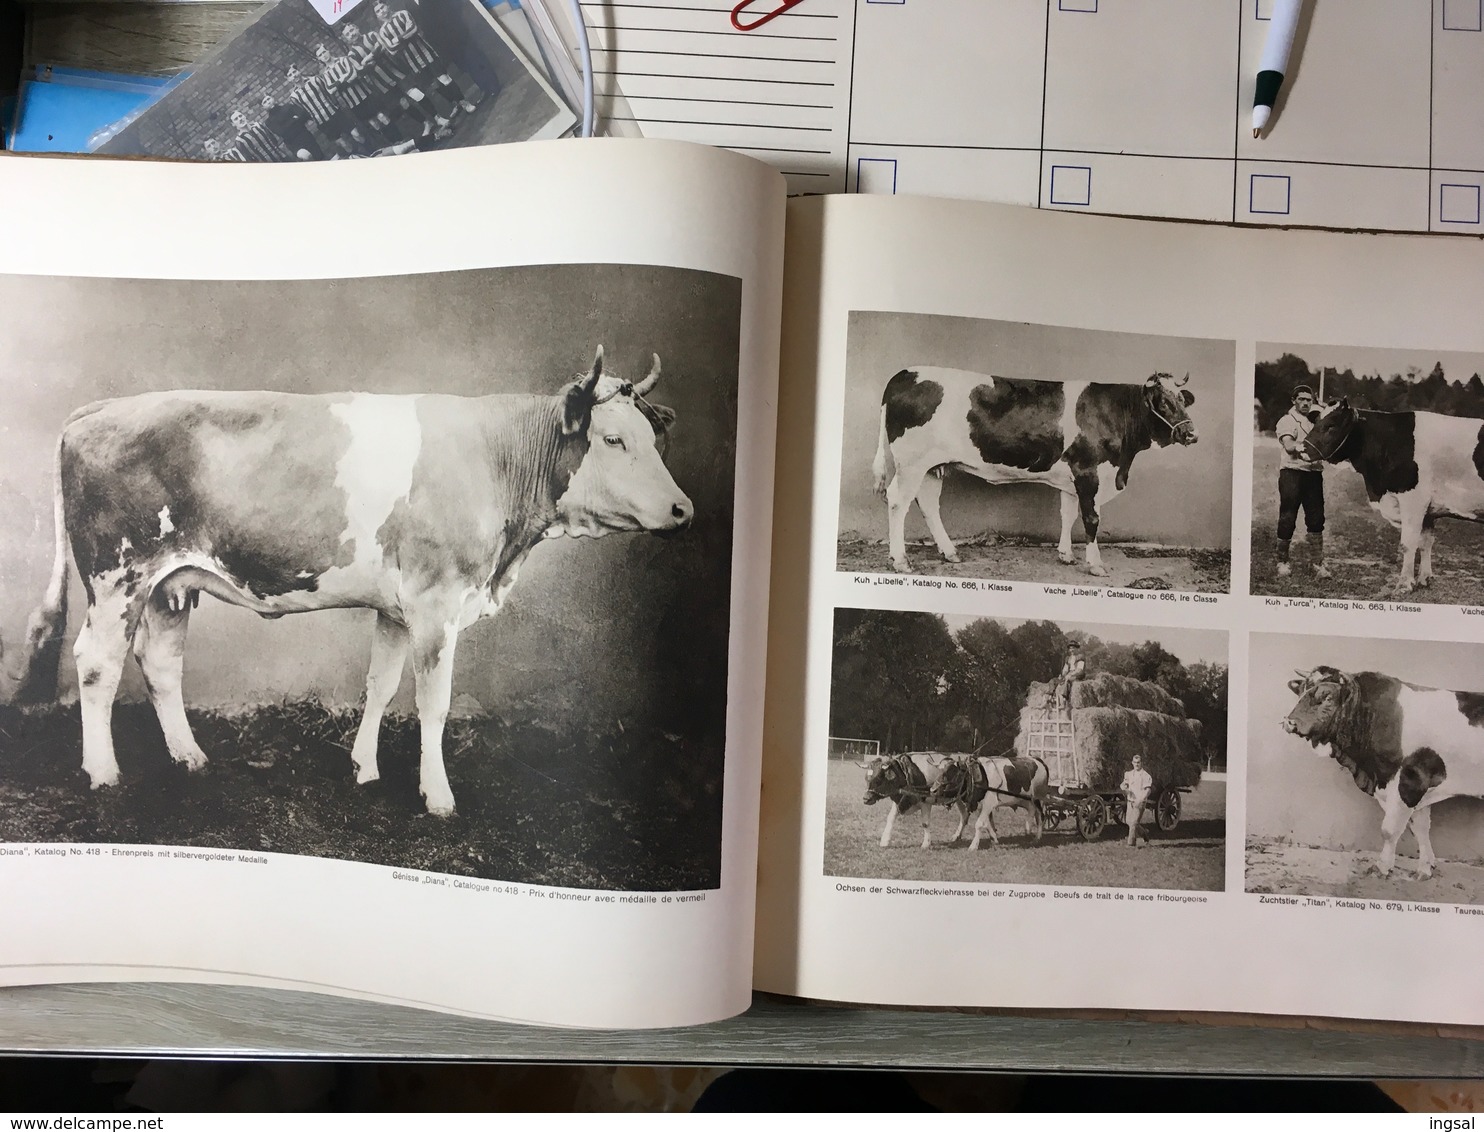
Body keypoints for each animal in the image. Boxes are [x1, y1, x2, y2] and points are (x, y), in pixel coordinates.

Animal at [13, 345, 694, 813]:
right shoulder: (437, 601)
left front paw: (364, 769)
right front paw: (437, 796)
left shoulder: (397, 606)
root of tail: (107, 404)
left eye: (653, 438)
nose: (683, 509)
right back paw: (104, 774)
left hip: (169, 582)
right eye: (613, 439)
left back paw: (191, 758)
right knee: (97, 663)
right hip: (118, 575)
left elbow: (380, 686)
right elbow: (433, 701)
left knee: (160, 664)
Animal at [872, 369, 1199, 575]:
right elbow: (1091, 519)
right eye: (1163, 403)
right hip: (911, 462)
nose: (1192, 434)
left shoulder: (1073, 476)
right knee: (898, 501)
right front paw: (1095, 564)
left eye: (1183, 400)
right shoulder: (1089, 470)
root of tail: (903, 374)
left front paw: (1066, 555)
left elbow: (1067, 514)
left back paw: (950, 552)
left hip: (931, 465)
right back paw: (900, 560)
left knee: (927, 504)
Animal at [1282, 667, 1484, 878]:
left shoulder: (1410, 781)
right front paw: (1425, 867)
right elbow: (1420, 828)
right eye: (1301, 691)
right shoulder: (1419, 787)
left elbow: (1389, 829)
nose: (1290, 722)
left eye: (1327, 697)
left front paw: (1382, 867)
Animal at [1299, 397, 1484, 593]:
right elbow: (1425, 543)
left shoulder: (1413, 500)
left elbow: (1408, 543)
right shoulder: (1428, 510)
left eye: (1331, 426)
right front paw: (1424, 579)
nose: (1301, 449)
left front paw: (1404, 584)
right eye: (1316, 422)